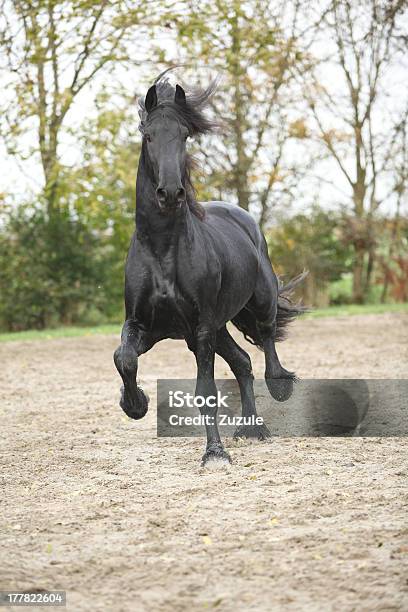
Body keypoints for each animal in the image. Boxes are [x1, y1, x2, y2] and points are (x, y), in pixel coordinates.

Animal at [113, 73, 304, 464]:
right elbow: (123, 357)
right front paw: (135, 403)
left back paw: (278, 388)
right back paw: (251, 429)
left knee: (265, 338)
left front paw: (215, 453)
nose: (171, 193)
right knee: (242, 362)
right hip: (217, 328)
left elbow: (206, 391)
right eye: (148, 134)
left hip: (256, 303)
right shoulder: (145, 325)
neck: (162, 250)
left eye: (185, 134)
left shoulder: (200, 329)